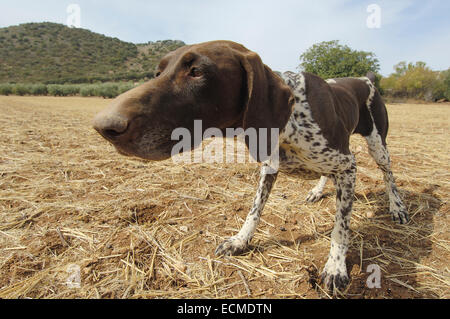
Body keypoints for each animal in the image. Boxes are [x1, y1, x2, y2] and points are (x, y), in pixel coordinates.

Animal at [93, 40, 410, 296]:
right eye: (157, 73)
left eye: (197, 71)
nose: (104, 126)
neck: (292, 119)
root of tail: (366, 78)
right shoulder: (270, 169)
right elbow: (254, 211)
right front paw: (240, 240)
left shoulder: (347, 167)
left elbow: (340, 228)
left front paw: (336, 267)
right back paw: (318, 190)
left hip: (377, 144)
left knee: (388, 174)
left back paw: (397, 207)